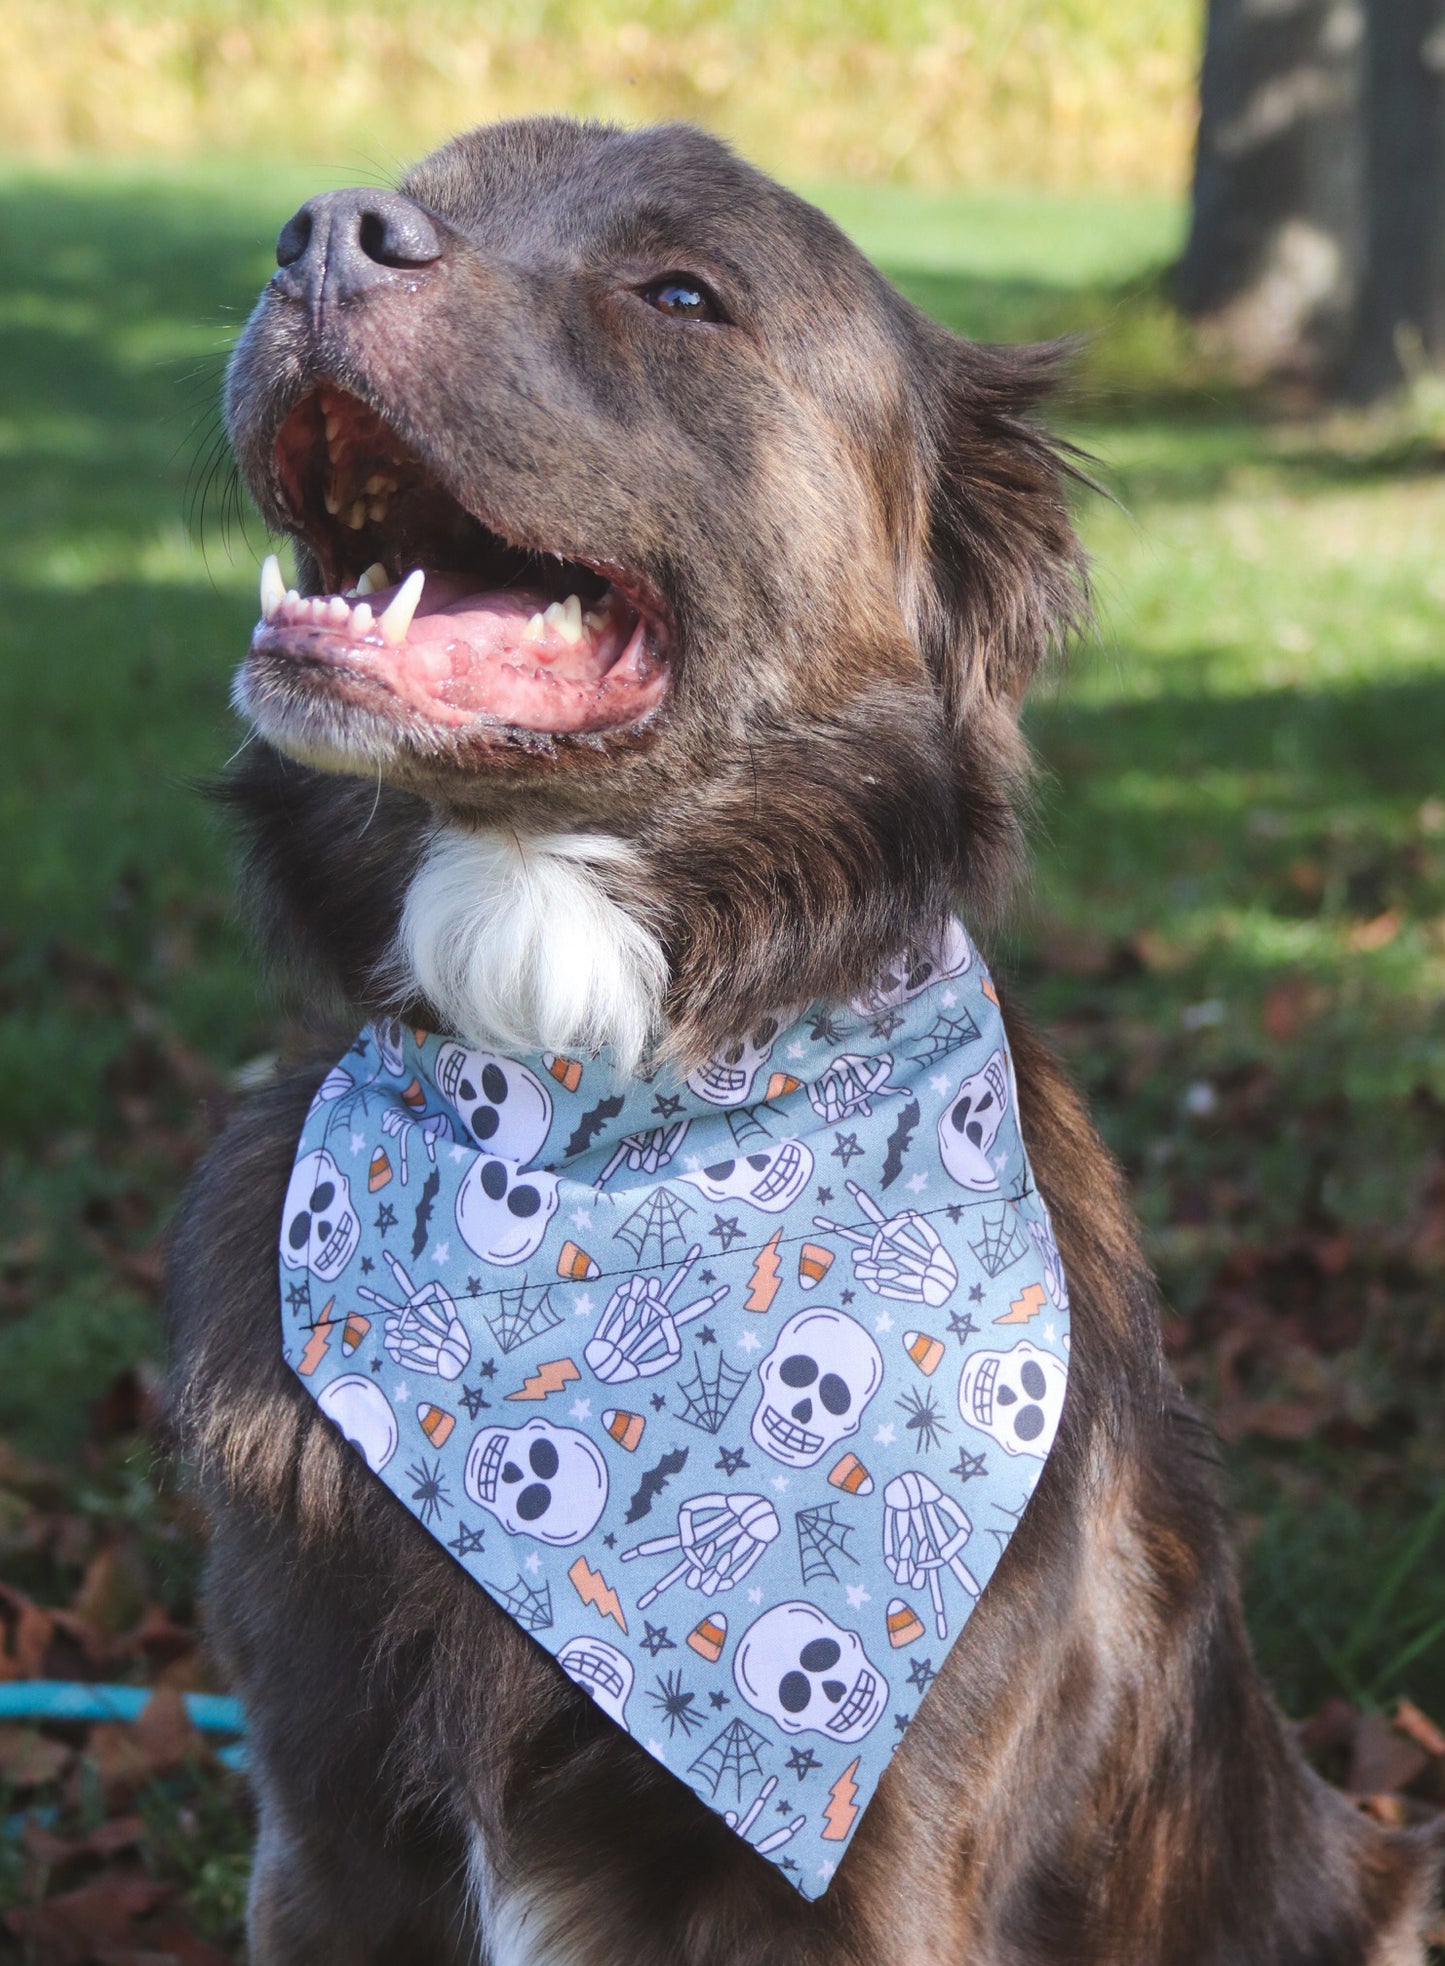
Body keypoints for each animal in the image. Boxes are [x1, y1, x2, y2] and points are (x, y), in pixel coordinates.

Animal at [167, 115, 1439, 1958]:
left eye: (684, 292)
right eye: (419, 186)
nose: (322, 236)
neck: (598, 1103)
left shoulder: (879, 1874)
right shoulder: (322, 1839)